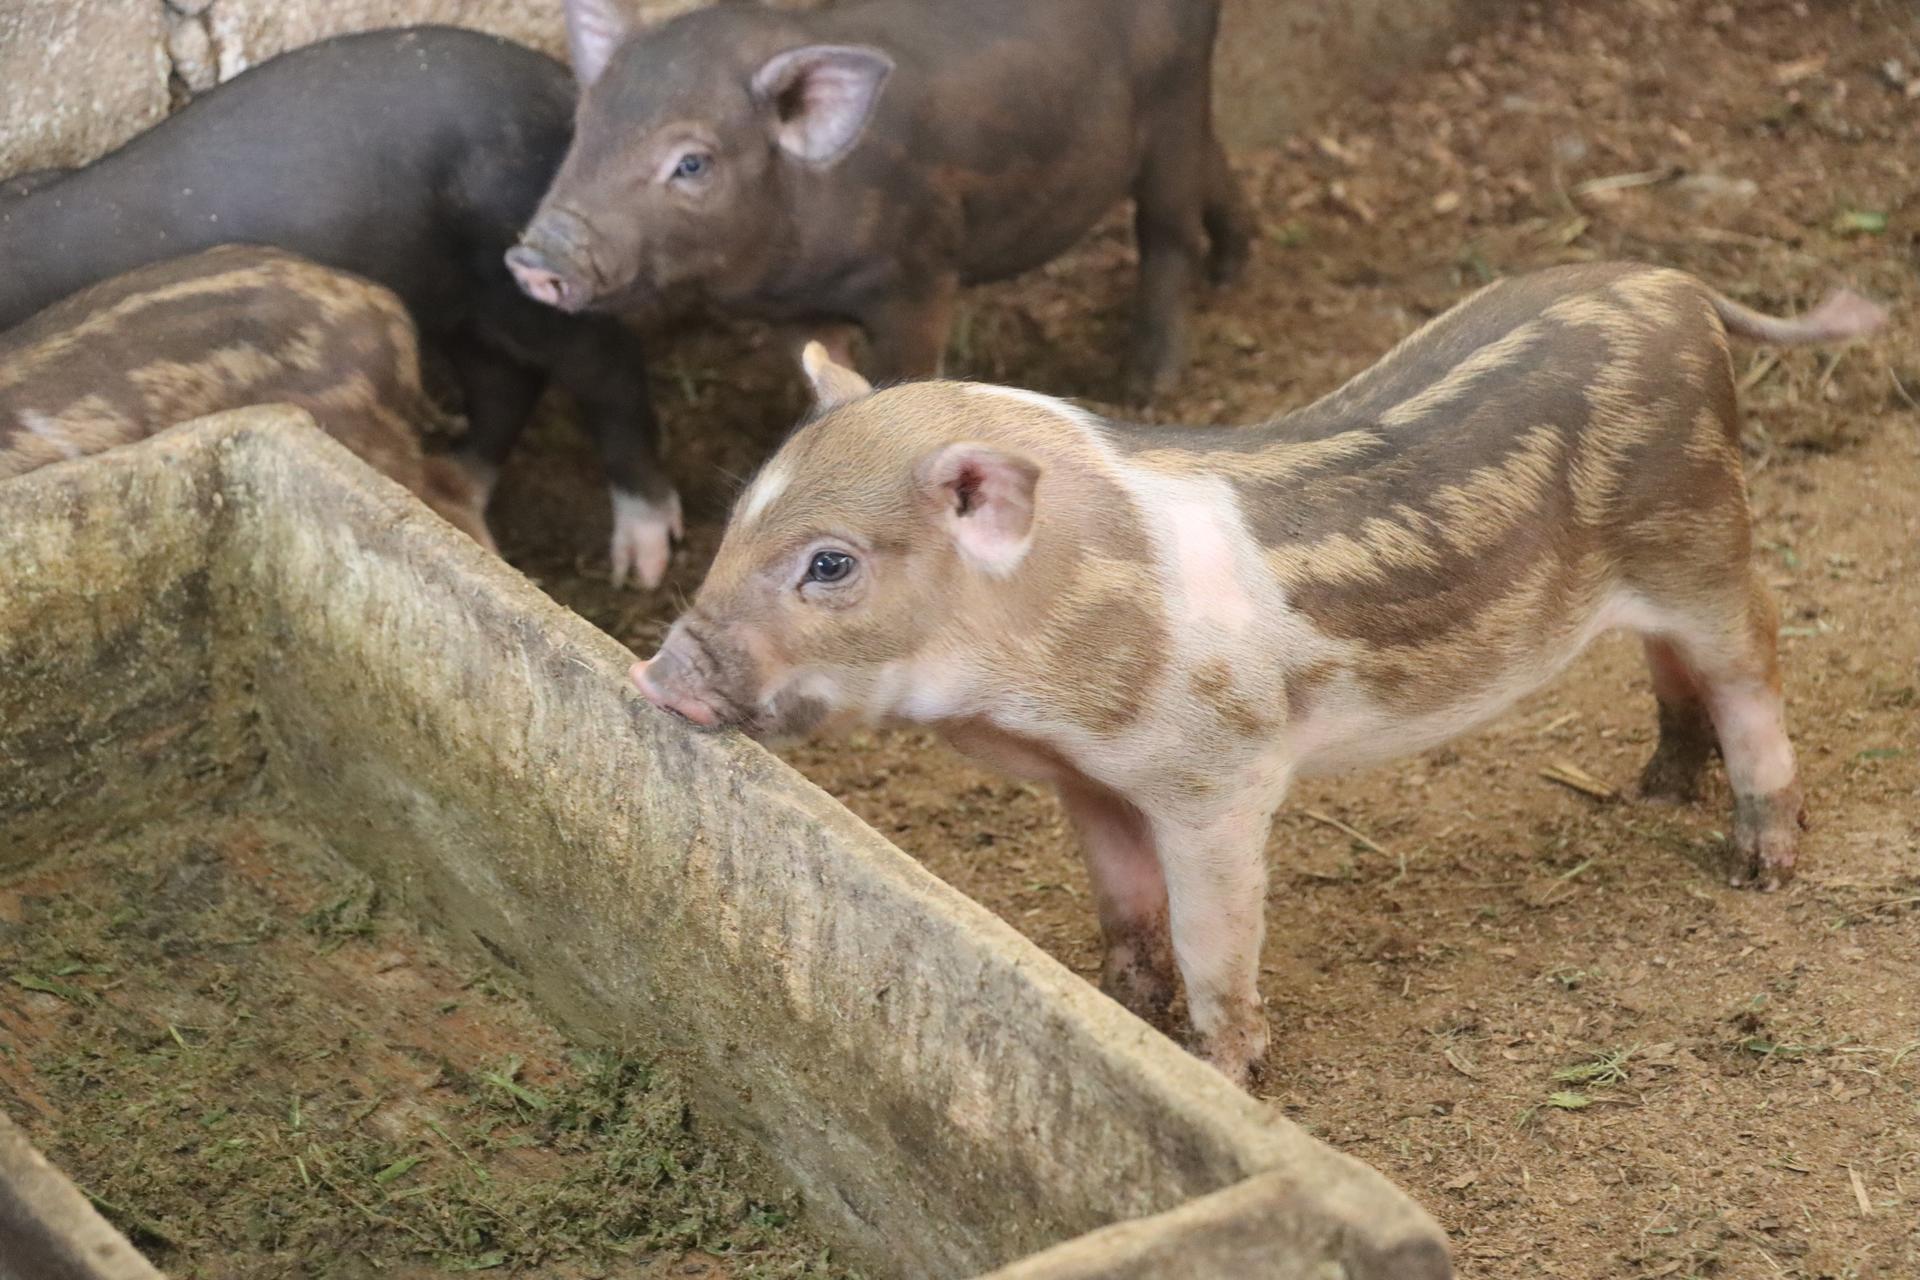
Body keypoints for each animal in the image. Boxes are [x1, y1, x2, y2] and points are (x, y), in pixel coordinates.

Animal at [509, 0, 1253, 398]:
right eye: (583, 125)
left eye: (691, 163)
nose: (535, 256)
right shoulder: (794, 310)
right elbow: (820, 369)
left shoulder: (921, 273)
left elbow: (908, 368)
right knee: (1216, 166)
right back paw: (1233, 272)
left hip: (1174, 92)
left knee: (1167, 227)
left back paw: (1150, 382)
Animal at [631, 262, 1886, 1086]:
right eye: (739, 517)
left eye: (830, 563)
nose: (656, 672)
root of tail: (1679, 283)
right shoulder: (1089, 778)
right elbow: (1123, 902)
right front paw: (1124, 1006)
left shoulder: (1218, 772)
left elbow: (1211, 932)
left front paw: (1224, 1069)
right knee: (1669, 666)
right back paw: (1653, 788)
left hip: (1703, 537)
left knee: (1754, 657)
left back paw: (1762, 866)